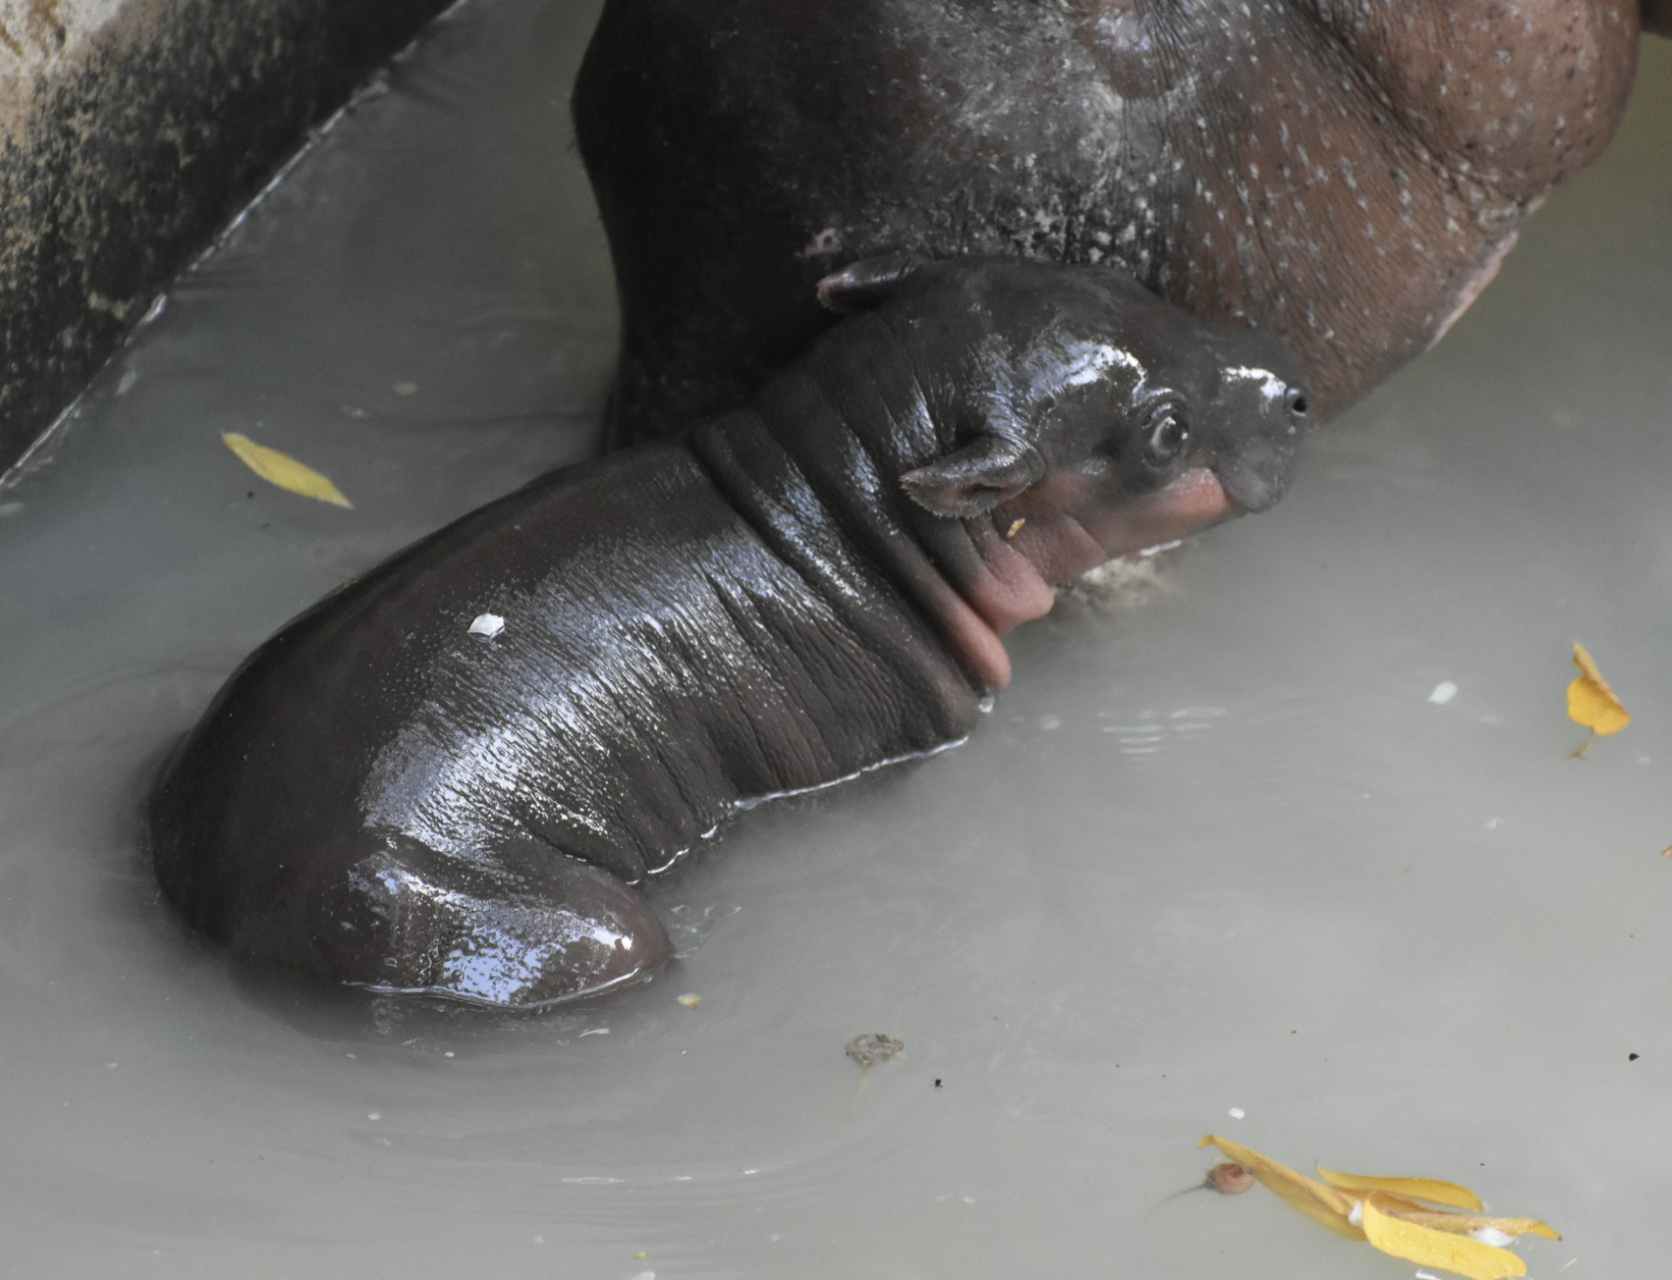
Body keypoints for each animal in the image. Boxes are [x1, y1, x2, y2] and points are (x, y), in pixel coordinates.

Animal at [148, 256, 1308, 1008]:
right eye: (1164, 431)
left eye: (1137, 288)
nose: (1291, 380)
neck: (832, 491)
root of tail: (235, 891)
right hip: (579, 933)